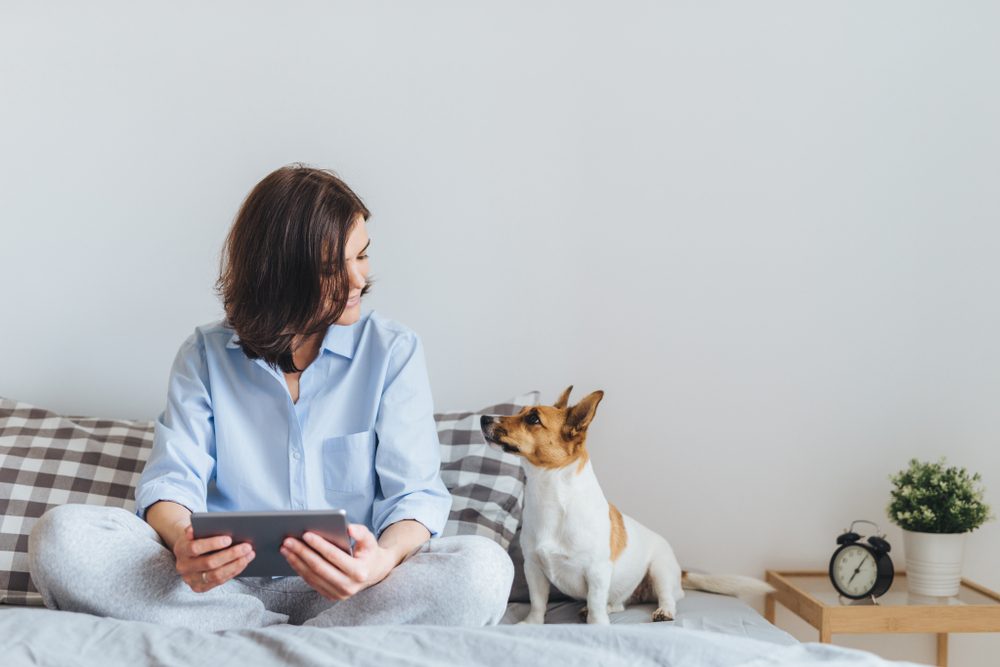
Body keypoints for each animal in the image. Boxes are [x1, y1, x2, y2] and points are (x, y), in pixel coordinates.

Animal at [482, 386, 772, 628]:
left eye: (533, 419)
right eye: (520, 411)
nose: (484, 418)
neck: (551, 495)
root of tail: (680, 571)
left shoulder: (597, 571)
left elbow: (596, 603)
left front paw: (597, 625)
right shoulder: (533, 568)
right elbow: (538, 602)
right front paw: (532, 623)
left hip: (660, 570)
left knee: (667, 598)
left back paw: (663, 612)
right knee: (618, 603)